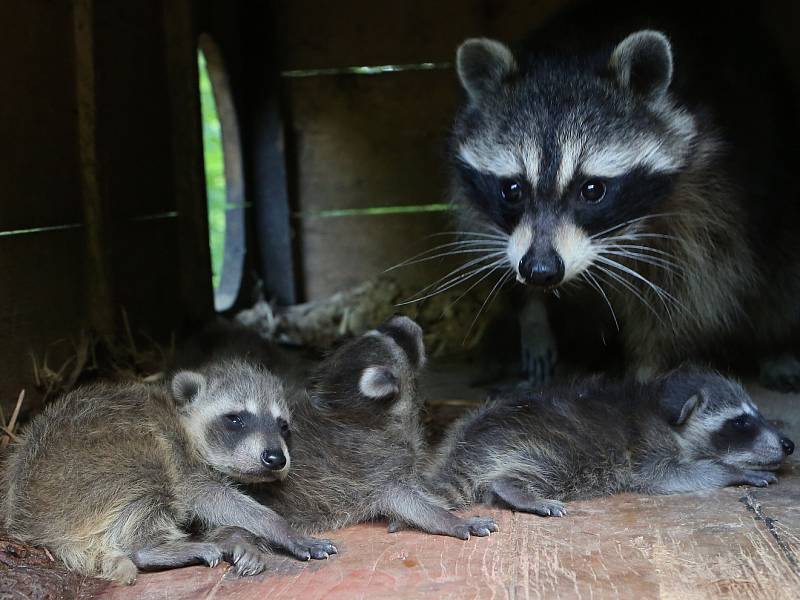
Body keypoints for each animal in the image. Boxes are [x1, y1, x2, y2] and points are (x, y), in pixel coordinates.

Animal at [1, 358, 336, 584]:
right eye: (236, 418)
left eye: (283, 426)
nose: (275, 458)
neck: (185, 424)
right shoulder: (181, 458)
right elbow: (208, 497)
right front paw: (278, 527)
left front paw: (238, 537)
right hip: (90, 471)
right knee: (152, 481)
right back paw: (151, 549)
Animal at [253, 316, 496, 540]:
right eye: (398, 341)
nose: (403, 319)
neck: (352, 410)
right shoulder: (375, 468)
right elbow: (405, 500)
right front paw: (452, 520)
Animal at [424, 370, 792, 516]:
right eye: (740, 422)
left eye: (757, 413)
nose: (789, 445)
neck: (659, 407)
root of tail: (465, 447)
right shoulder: (647, 449)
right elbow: (667, 477)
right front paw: (731, 470)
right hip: (547, 449)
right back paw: (515, 489)